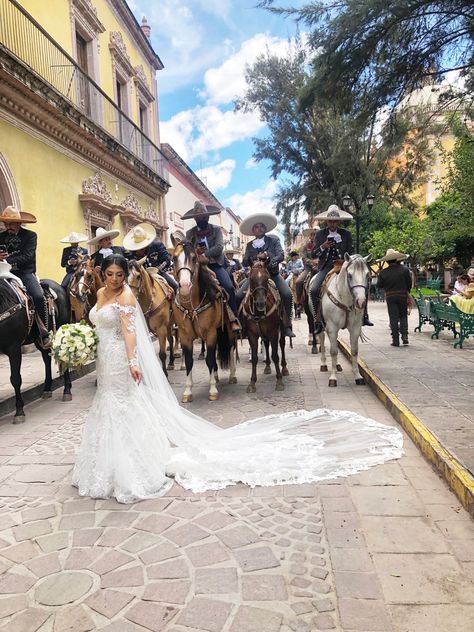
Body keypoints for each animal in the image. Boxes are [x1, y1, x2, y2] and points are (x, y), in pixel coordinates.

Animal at [0, 278, 72, 422]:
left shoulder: (14, 348)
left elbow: (15, 379)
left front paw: (19, 410)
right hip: (39, 339)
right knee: (46, 358)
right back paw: (47, 389)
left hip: (62, 329)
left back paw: (67, 390)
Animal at [171, 237, 236, 404]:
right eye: (174, 258)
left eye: (194, 258)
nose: (185, 286)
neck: (191, 305)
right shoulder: (185, 336)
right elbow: (189, 361)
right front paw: (187, 392)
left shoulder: (211, 333)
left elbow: (210, 359)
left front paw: (212, 390)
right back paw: (217, 376)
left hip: (228, 329)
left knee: (231, 349)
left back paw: (232, 375)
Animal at [239, 260, 286, 390]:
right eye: (251, 278)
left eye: (266, 278)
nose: (260, 303)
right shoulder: (252, 334)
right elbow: (255, 357)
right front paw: (252, 383)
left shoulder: (273, 331)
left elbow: (275, 355)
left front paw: (279, 381)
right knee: (266, 343)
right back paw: (267, 366)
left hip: (281, 327)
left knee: (282, 344)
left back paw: (284, 368)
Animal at [312, 254, 372, 388]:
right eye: (349, 275)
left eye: (367, 275)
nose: (361, 302)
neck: (346, 299)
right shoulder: (332, 328)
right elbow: (333, 351)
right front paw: (333, 378)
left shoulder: (355, 328)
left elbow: (354, 351)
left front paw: (358, 376)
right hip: (322, 325)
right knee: (322, 341)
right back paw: (324, 364)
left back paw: (338, 365)